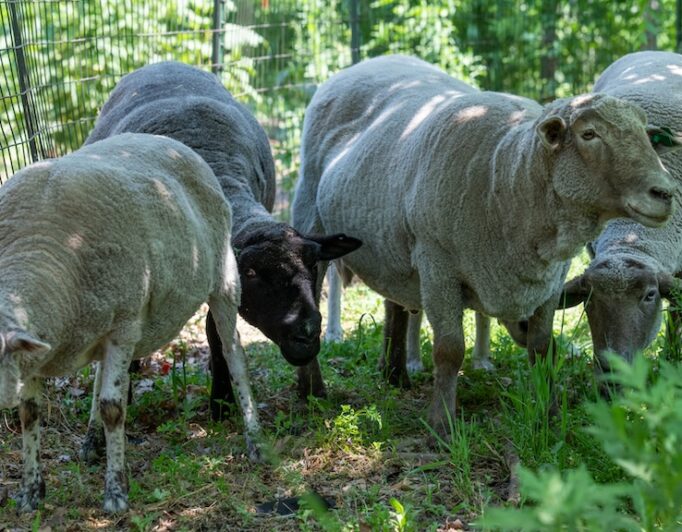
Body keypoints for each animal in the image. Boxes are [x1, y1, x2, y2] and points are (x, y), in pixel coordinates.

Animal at [0, 132, 260, 512]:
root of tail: (168, 140)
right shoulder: (36, 349)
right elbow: (29, 414)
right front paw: (31, 493)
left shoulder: (122, 327)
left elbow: (113, 408)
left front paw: (116, 493)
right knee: (98, 378)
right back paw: (91, 442)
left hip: (223, 276)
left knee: (233, 353)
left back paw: (254, 438)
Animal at [83, 62, 362, 418]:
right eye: (252, 273)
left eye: (314, 265)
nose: (307, 335)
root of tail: (164, 63)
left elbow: (217, 332)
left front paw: (222, 401)